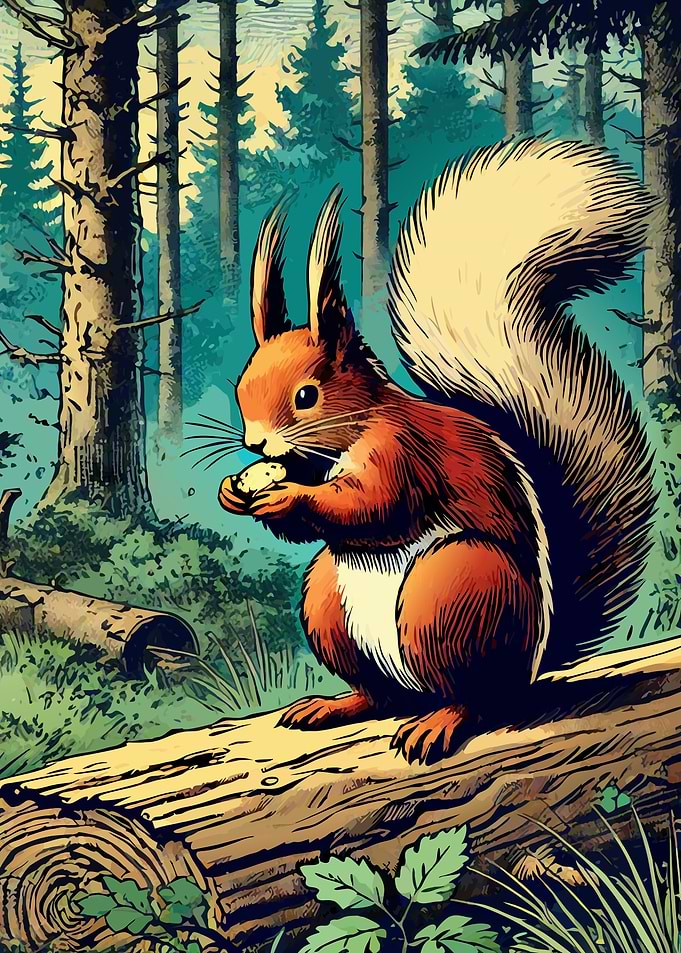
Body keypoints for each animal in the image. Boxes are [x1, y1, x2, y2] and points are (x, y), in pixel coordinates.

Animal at [218, 138, 657, 765]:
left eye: (307, 395)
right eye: (242, 387)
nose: (255, 442)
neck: (337, 444)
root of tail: (530, 665)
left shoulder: (403, 453)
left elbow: (375, 507)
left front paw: (284, 498)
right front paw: (237, 491)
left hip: (453, 590)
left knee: (472, 697)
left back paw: (439, 722)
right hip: (327, 600)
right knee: (378, 695)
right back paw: (332, 706)